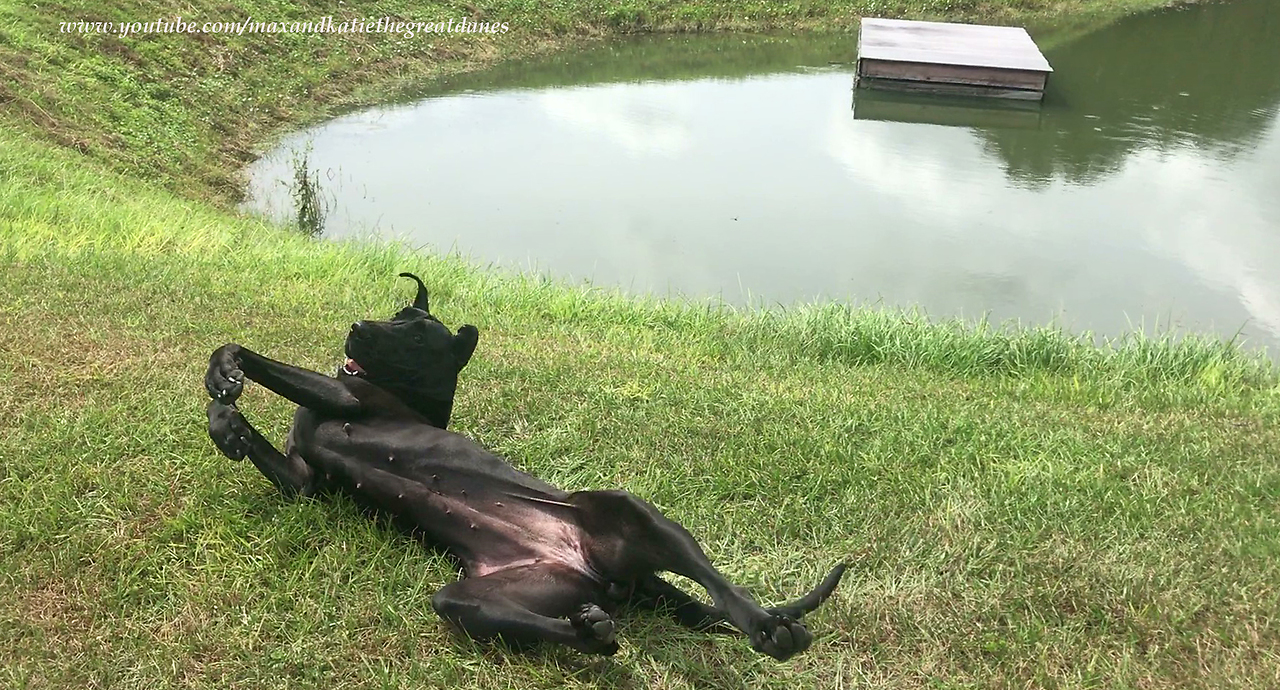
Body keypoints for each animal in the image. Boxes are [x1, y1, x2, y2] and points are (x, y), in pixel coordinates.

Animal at [204, 273, 844, 660]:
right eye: (395, 315)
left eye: (416, 336)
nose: (356, 328)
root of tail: (608, 579)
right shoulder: (306, 481)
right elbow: (286, 467)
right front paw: (225, 419)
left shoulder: (349, 401)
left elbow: (263, 361)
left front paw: (227, 373)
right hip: (487, 596)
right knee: (529, 621)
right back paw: (591, 632)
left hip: (629, 511)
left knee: (721, 584)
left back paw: (769, 627)